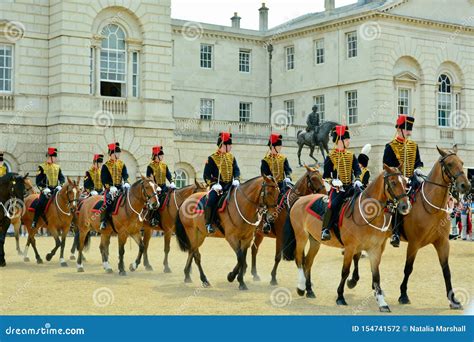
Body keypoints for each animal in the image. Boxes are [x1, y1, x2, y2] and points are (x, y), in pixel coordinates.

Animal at [282, 166, 412, 312]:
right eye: (393, 182)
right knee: (299, 259)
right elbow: (345, 271)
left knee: (308, 262)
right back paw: (301, 287)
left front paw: (382, 303)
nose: (405, 206)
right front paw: (340, 297)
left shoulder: (375, 249)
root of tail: (299, 199)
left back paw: (309, 290)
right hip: (301, 237)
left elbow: (376, 276)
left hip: (315, 241)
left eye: (405, 183)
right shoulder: (350, 248)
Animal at [396, 145, 470, 310]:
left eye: (462, 162)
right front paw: (403, 295)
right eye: (449, 164)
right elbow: (408, 268)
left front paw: (453, 300)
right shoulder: (413, 244)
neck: (432, 208)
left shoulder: (442, 242)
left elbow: (446, 270)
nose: (466, 185)